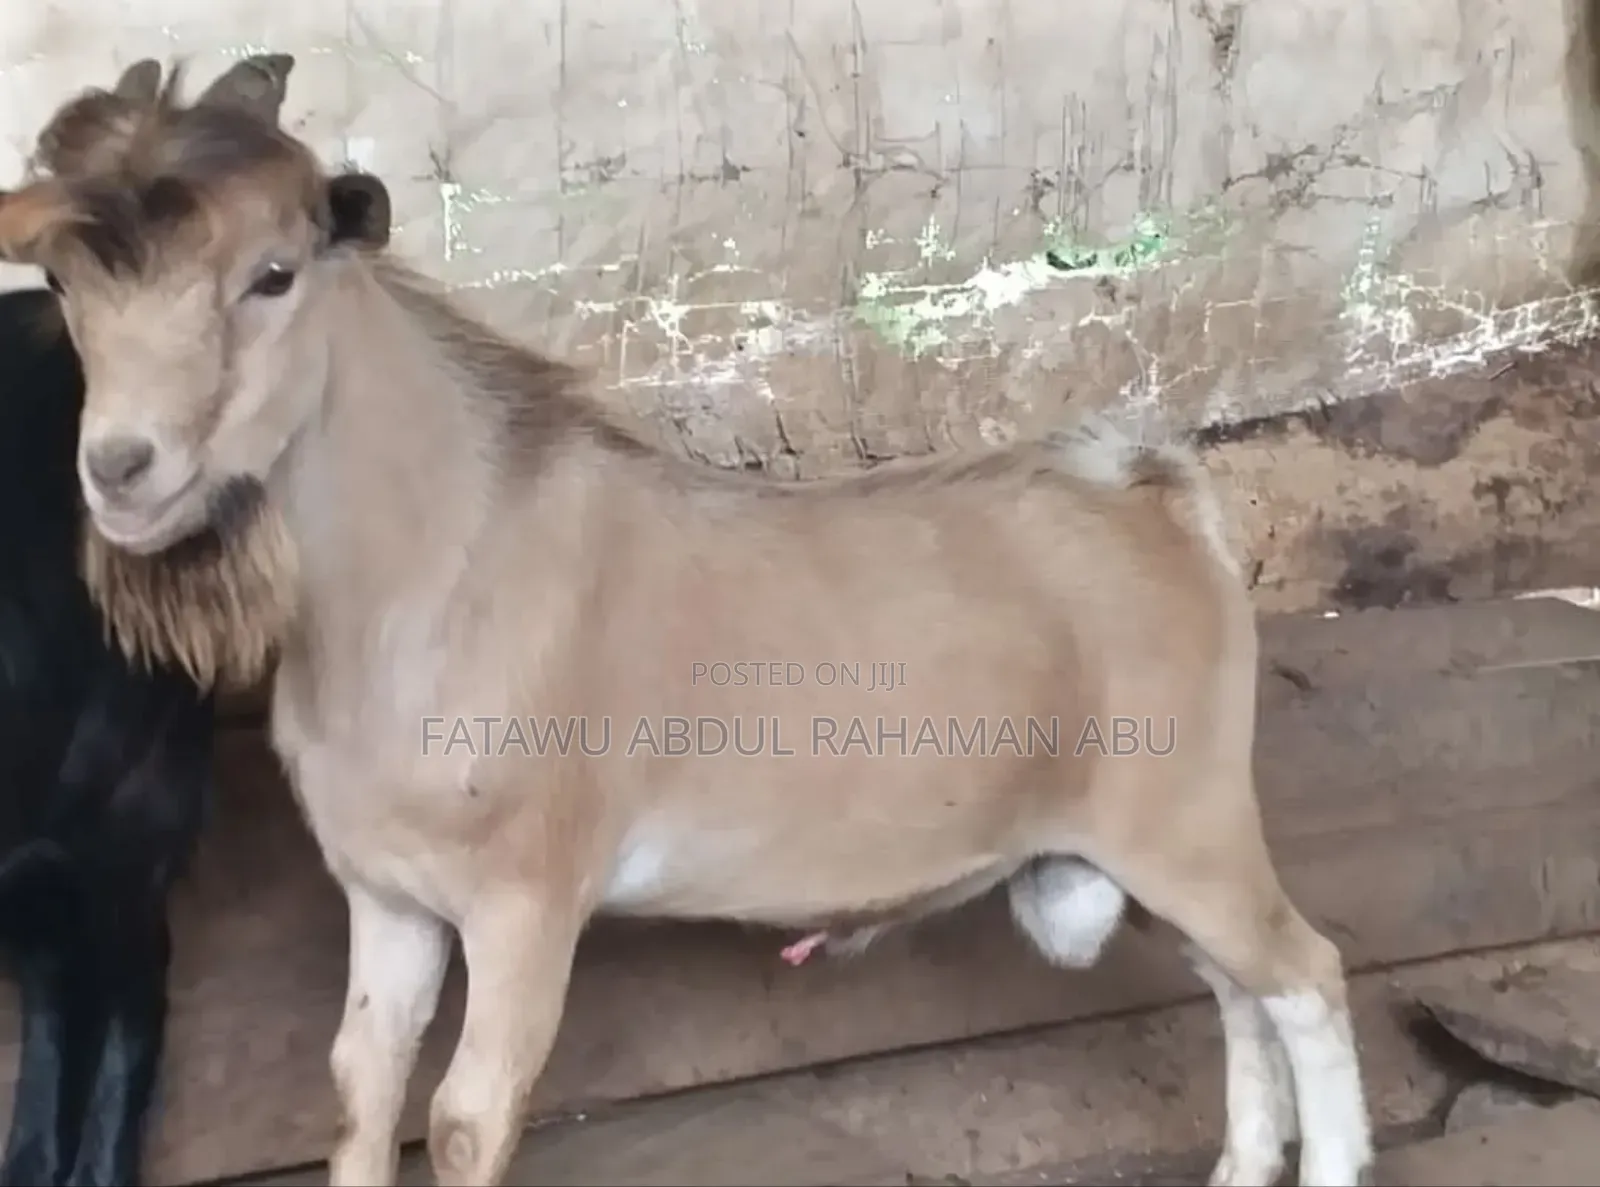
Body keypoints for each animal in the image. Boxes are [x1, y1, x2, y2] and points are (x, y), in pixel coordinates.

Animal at [0, 60, 1375, 1187]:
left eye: (273, 275)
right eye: (62, 283)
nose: (120, 470)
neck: (442, 568)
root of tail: (1154, 493)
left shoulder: (527, 903)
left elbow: (464, 1119)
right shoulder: (388, 899)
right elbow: (361, 1092)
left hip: (1188, 822)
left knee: (1303, 975)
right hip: (1144, 850)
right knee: (1236, 989)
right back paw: (1240, 1165)